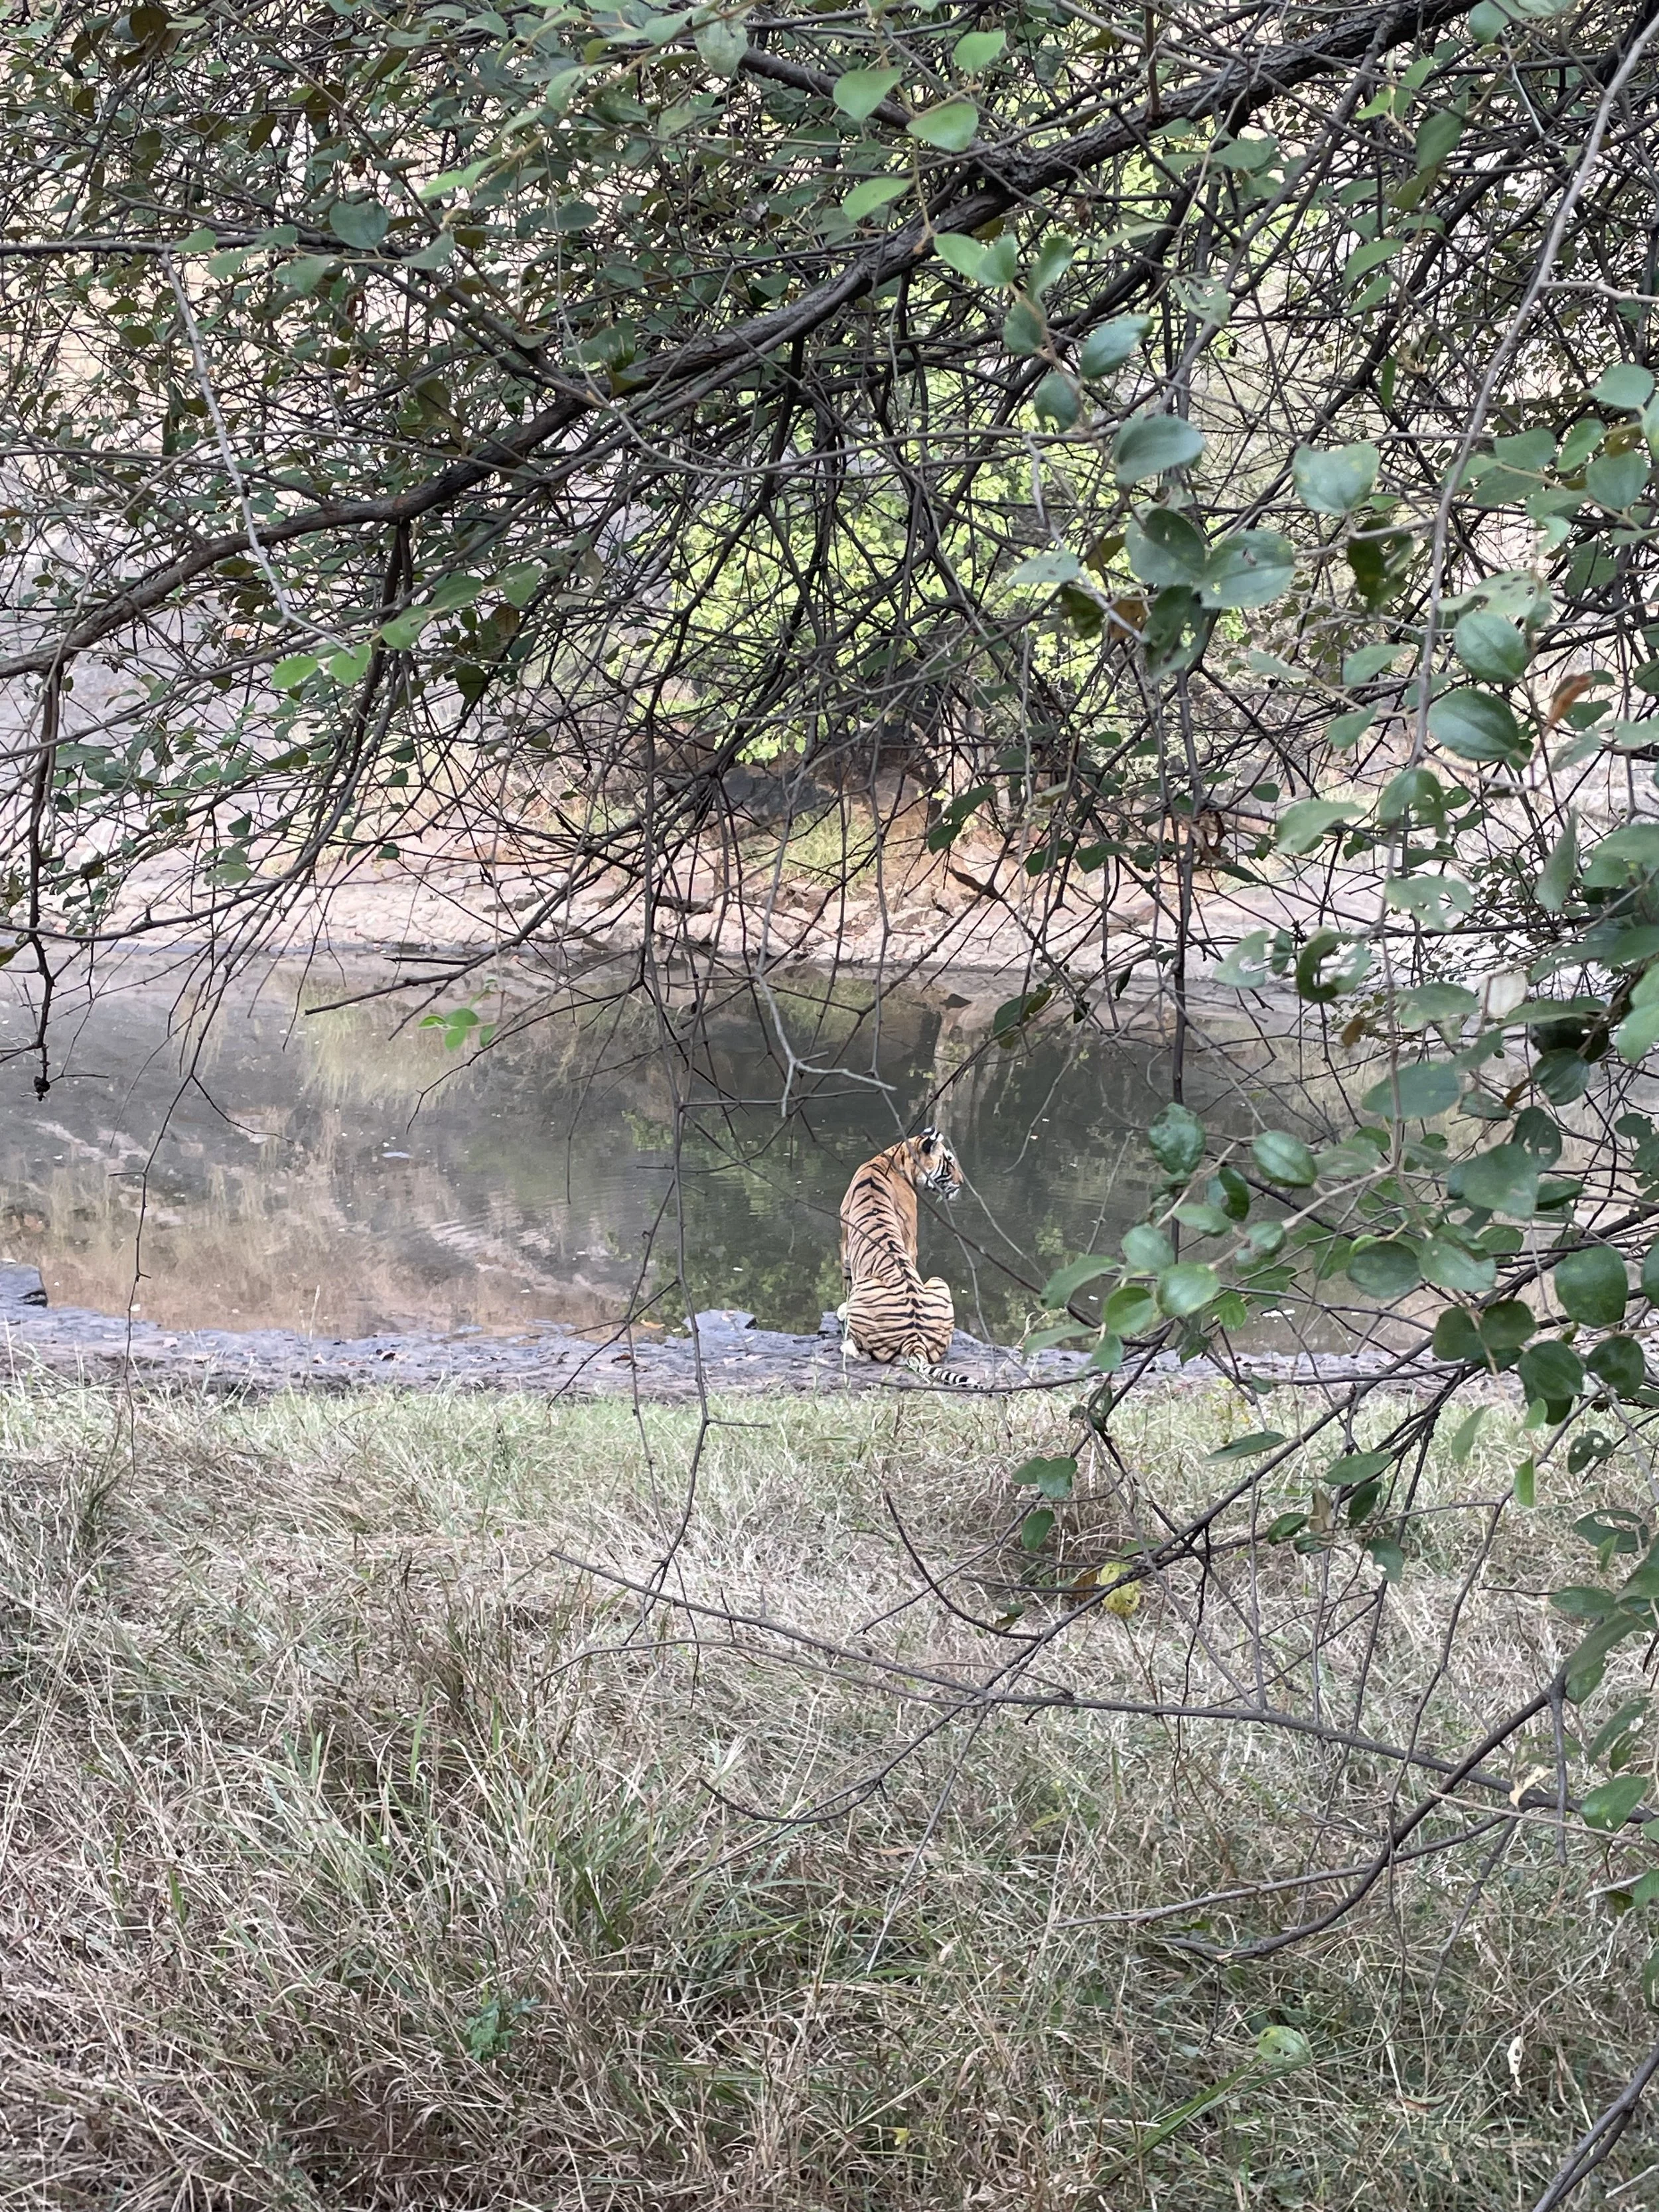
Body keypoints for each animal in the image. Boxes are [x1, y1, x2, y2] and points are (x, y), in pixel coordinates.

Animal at [836, 1128, 970, 1385]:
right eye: (949, 1161)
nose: (961, 1183)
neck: (894, 1157)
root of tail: (914, 1339)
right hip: (939, 1283)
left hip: (868, 1285)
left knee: (863, 1353)